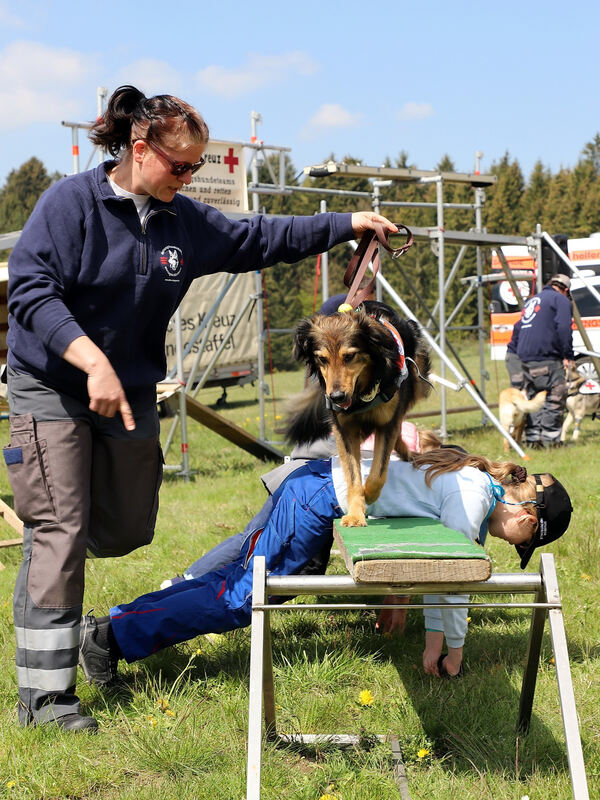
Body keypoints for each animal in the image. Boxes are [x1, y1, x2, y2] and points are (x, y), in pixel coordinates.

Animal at [286, 298, 432, 524]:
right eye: (322, 359)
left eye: (350, 356)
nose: (336, 397)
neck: (361, 393)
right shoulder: (344, 430)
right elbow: (352, 475)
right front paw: (355, 513)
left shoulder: (386, 423)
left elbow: (378, 472)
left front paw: (369, 494)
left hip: (416, 381)